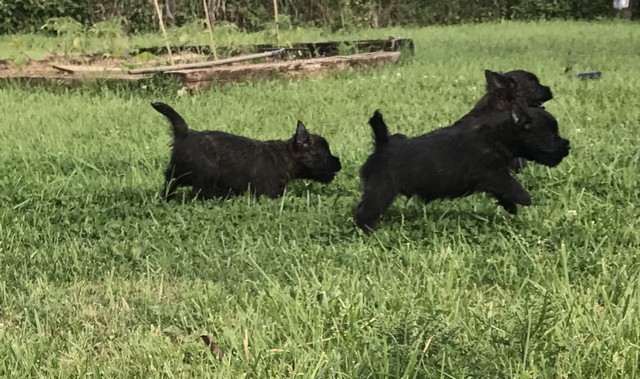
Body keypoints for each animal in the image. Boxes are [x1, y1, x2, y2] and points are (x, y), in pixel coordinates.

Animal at [151, 102, 342, 200]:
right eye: (325, 153)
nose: (339, 162)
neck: (286, 157)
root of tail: (185, 134)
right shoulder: (270, 193)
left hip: (176, 173)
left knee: (170, 185)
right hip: (206, 173)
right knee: (202, 192)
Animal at [356, 98, 568, 232]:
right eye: (550, 135)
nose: (568, 146)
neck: (498, 135)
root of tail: (382, 145)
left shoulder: (493, 176)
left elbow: (502, 190)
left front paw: (510, 207)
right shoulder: (490, 171)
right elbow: (509, 183)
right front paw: (524, 198)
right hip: (380, 191)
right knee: (363, 211)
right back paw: (366, 231)